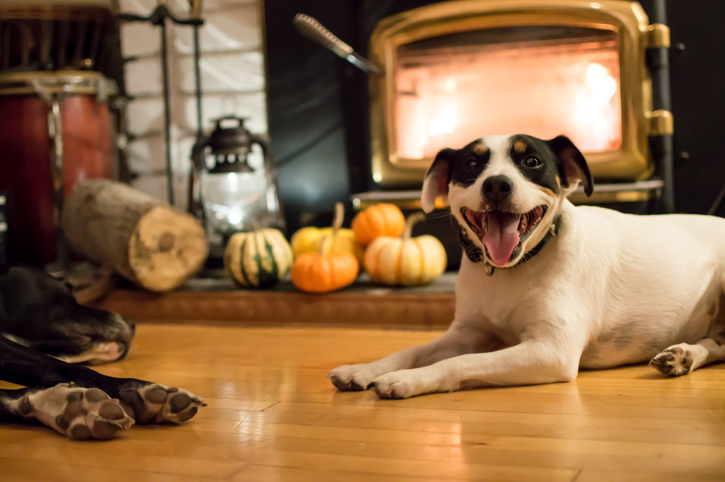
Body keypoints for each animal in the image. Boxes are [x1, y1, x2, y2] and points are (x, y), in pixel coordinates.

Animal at [330, 133, 724, 400]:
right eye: (471, 165)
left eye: (531, 162)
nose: (496, 185)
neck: (510, 271)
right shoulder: (467, 333)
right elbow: (409, 351)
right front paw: (363, 369)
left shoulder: (551, 350)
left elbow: (460, 363)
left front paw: (408, 379)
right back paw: (683, 357)